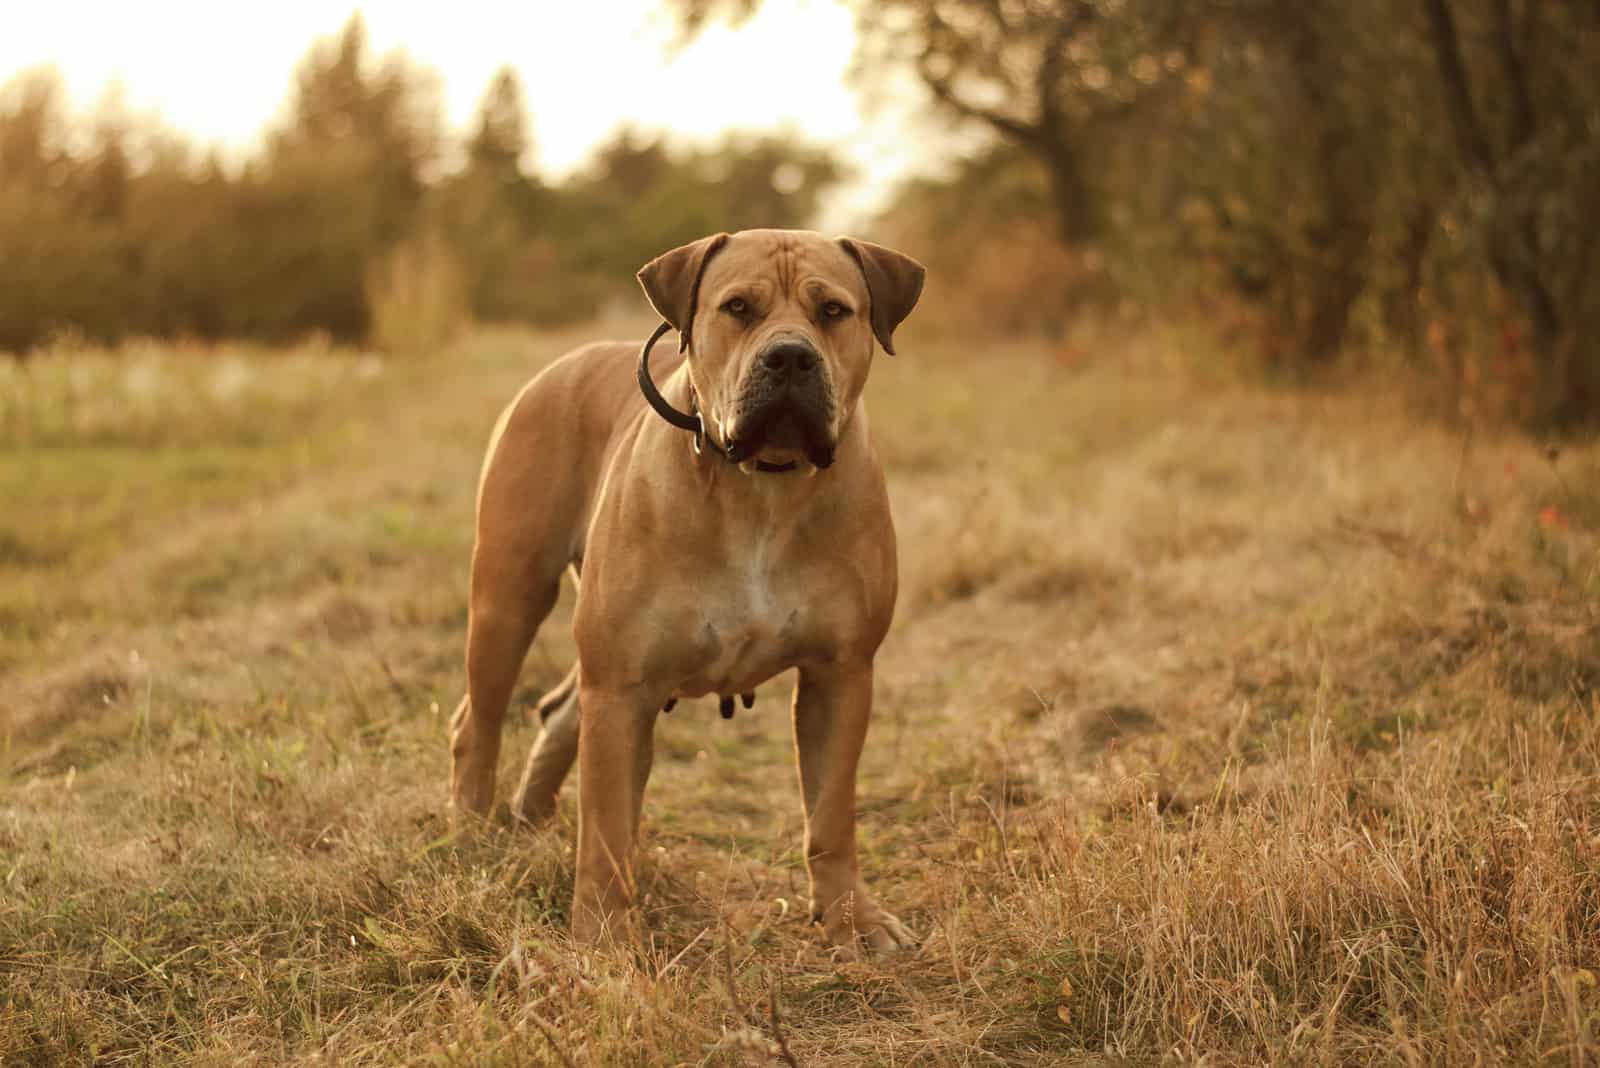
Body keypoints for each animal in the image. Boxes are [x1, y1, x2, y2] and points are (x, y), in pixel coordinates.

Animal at [448, 225, 928, 952]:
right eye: (737, 308)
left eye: (833, 312)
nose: (790, 358)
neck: (764, 485)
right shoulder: (623, 689)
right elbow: (609, 829)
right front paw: (603, 940)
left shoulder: (840, 675)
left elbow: (830, 815)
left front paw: (852, 919)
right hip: (510, 597)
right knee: (476, 725)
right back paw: (474, 838)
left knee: (558, 714)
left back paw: (530, 824)